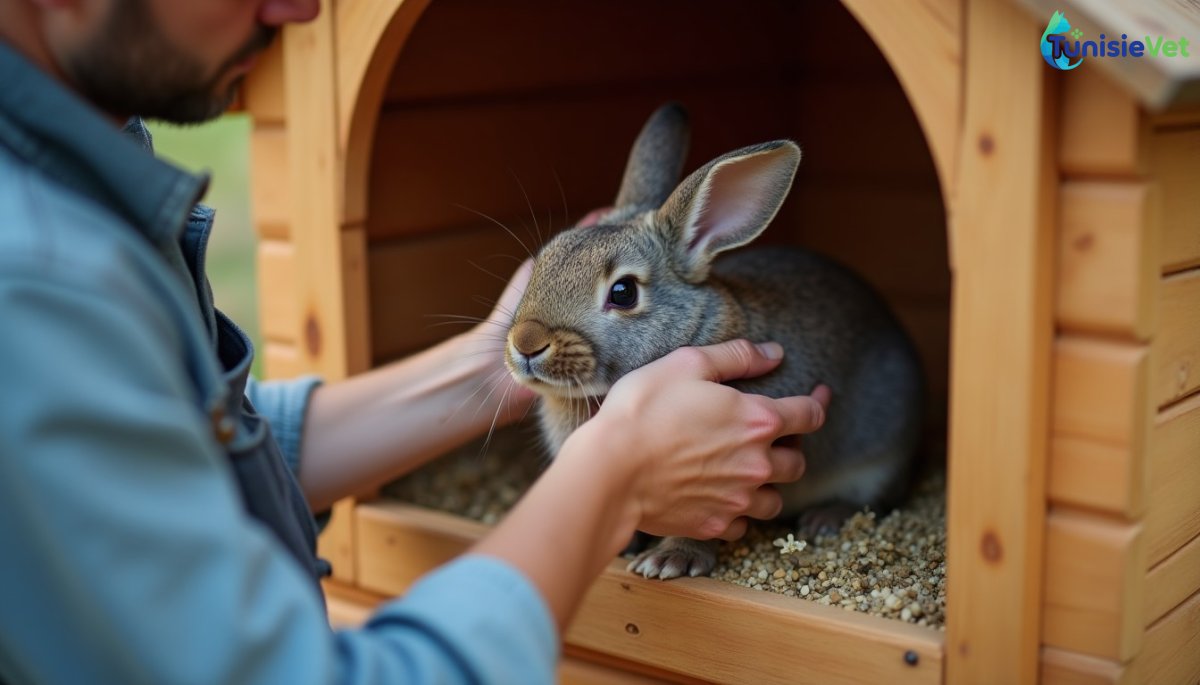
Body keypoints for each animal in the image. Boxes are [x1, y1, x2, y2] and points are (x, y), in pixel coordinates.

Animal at [503, 103, 925, 580]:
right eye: (543, 260)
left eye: (623, 292)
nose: (526, 342)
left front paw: (670, 560)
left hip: (879, 453)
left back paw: (824, 518)